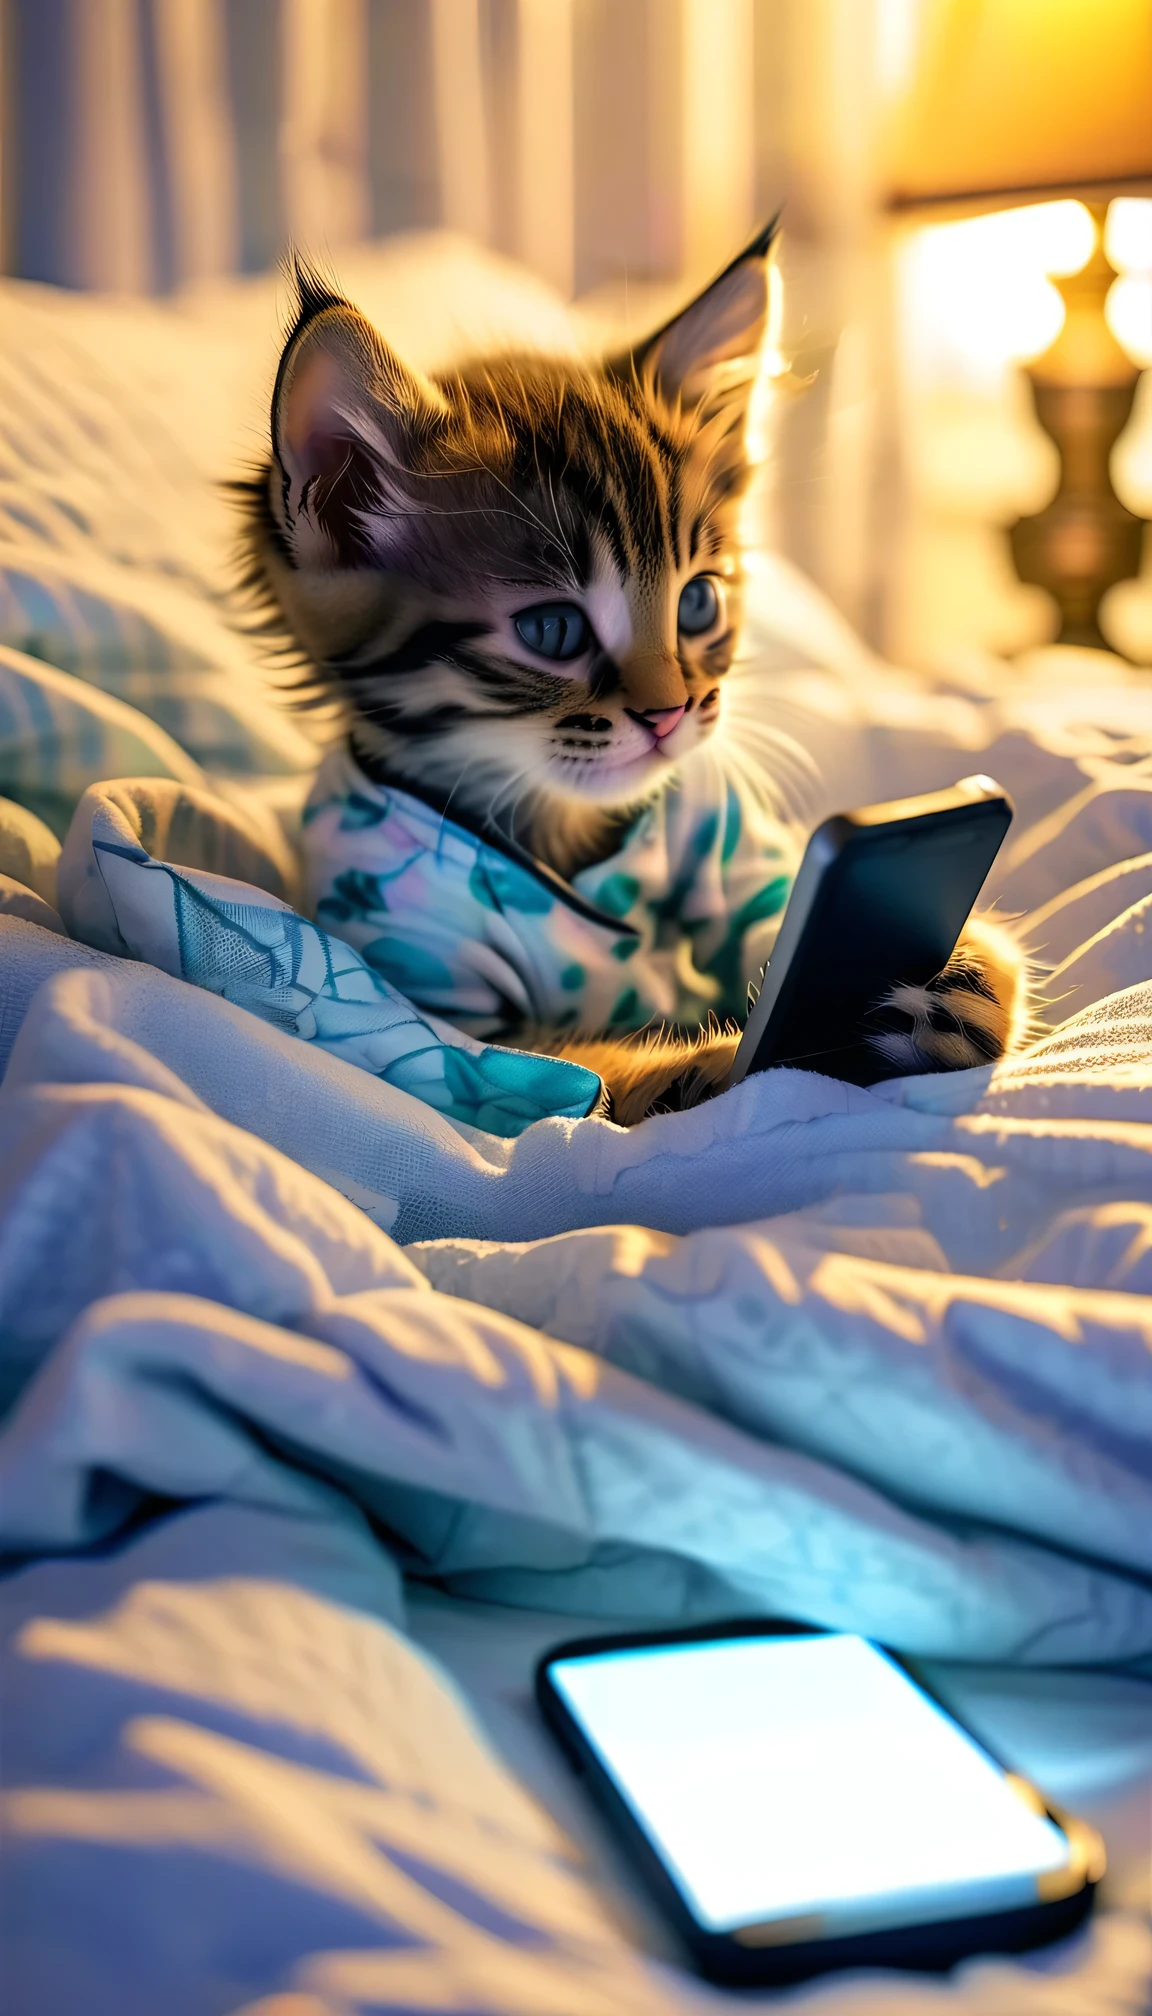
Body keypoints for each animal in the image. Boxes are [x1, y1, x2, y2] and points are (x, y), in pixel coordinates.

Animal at [241, 231, 1028, 1137]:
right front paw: (714, 1065)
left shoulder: (738, 845)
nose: (672, 712)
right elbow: (567, 1077)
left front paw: (969, 974)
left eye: (699, 602)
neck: (561, 823)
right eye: (552, 630)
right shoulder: (430, 994)